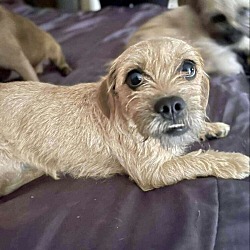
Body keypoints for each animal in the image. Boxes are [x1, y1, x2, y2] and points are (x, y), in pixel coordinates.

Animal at [0, 38, 250, 196]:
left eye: (188, 68)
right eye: (135, 78)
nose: (171, 105)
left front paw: (211, 127)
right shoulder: (151, 172)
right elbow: (193, 160)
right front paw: (233, 161)